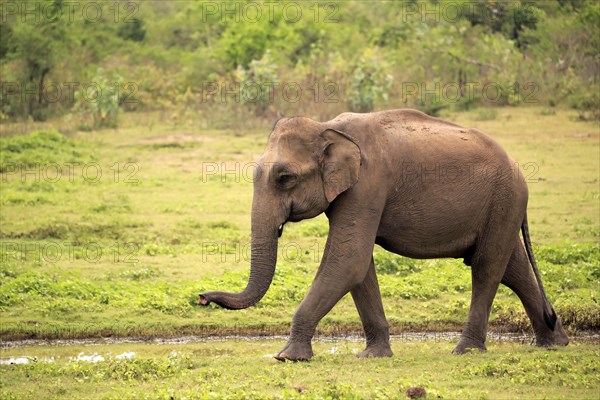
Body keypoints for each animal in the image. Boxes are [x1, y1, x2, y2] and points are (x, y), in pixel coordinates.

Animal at [199, 108, 568, 360]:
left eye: (285, 178)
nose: (202, 297)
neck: (327, 127)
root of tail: (516, 165)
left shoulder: (368, 184)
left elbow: (348, 258)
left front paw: (287, 357)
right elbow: (359, 266)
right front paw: (373, 356)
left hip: (505, 199)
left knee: (487, 267)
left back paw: (465, 351)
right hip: (502, 206)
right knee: (513, 268)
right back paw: (555, 342)